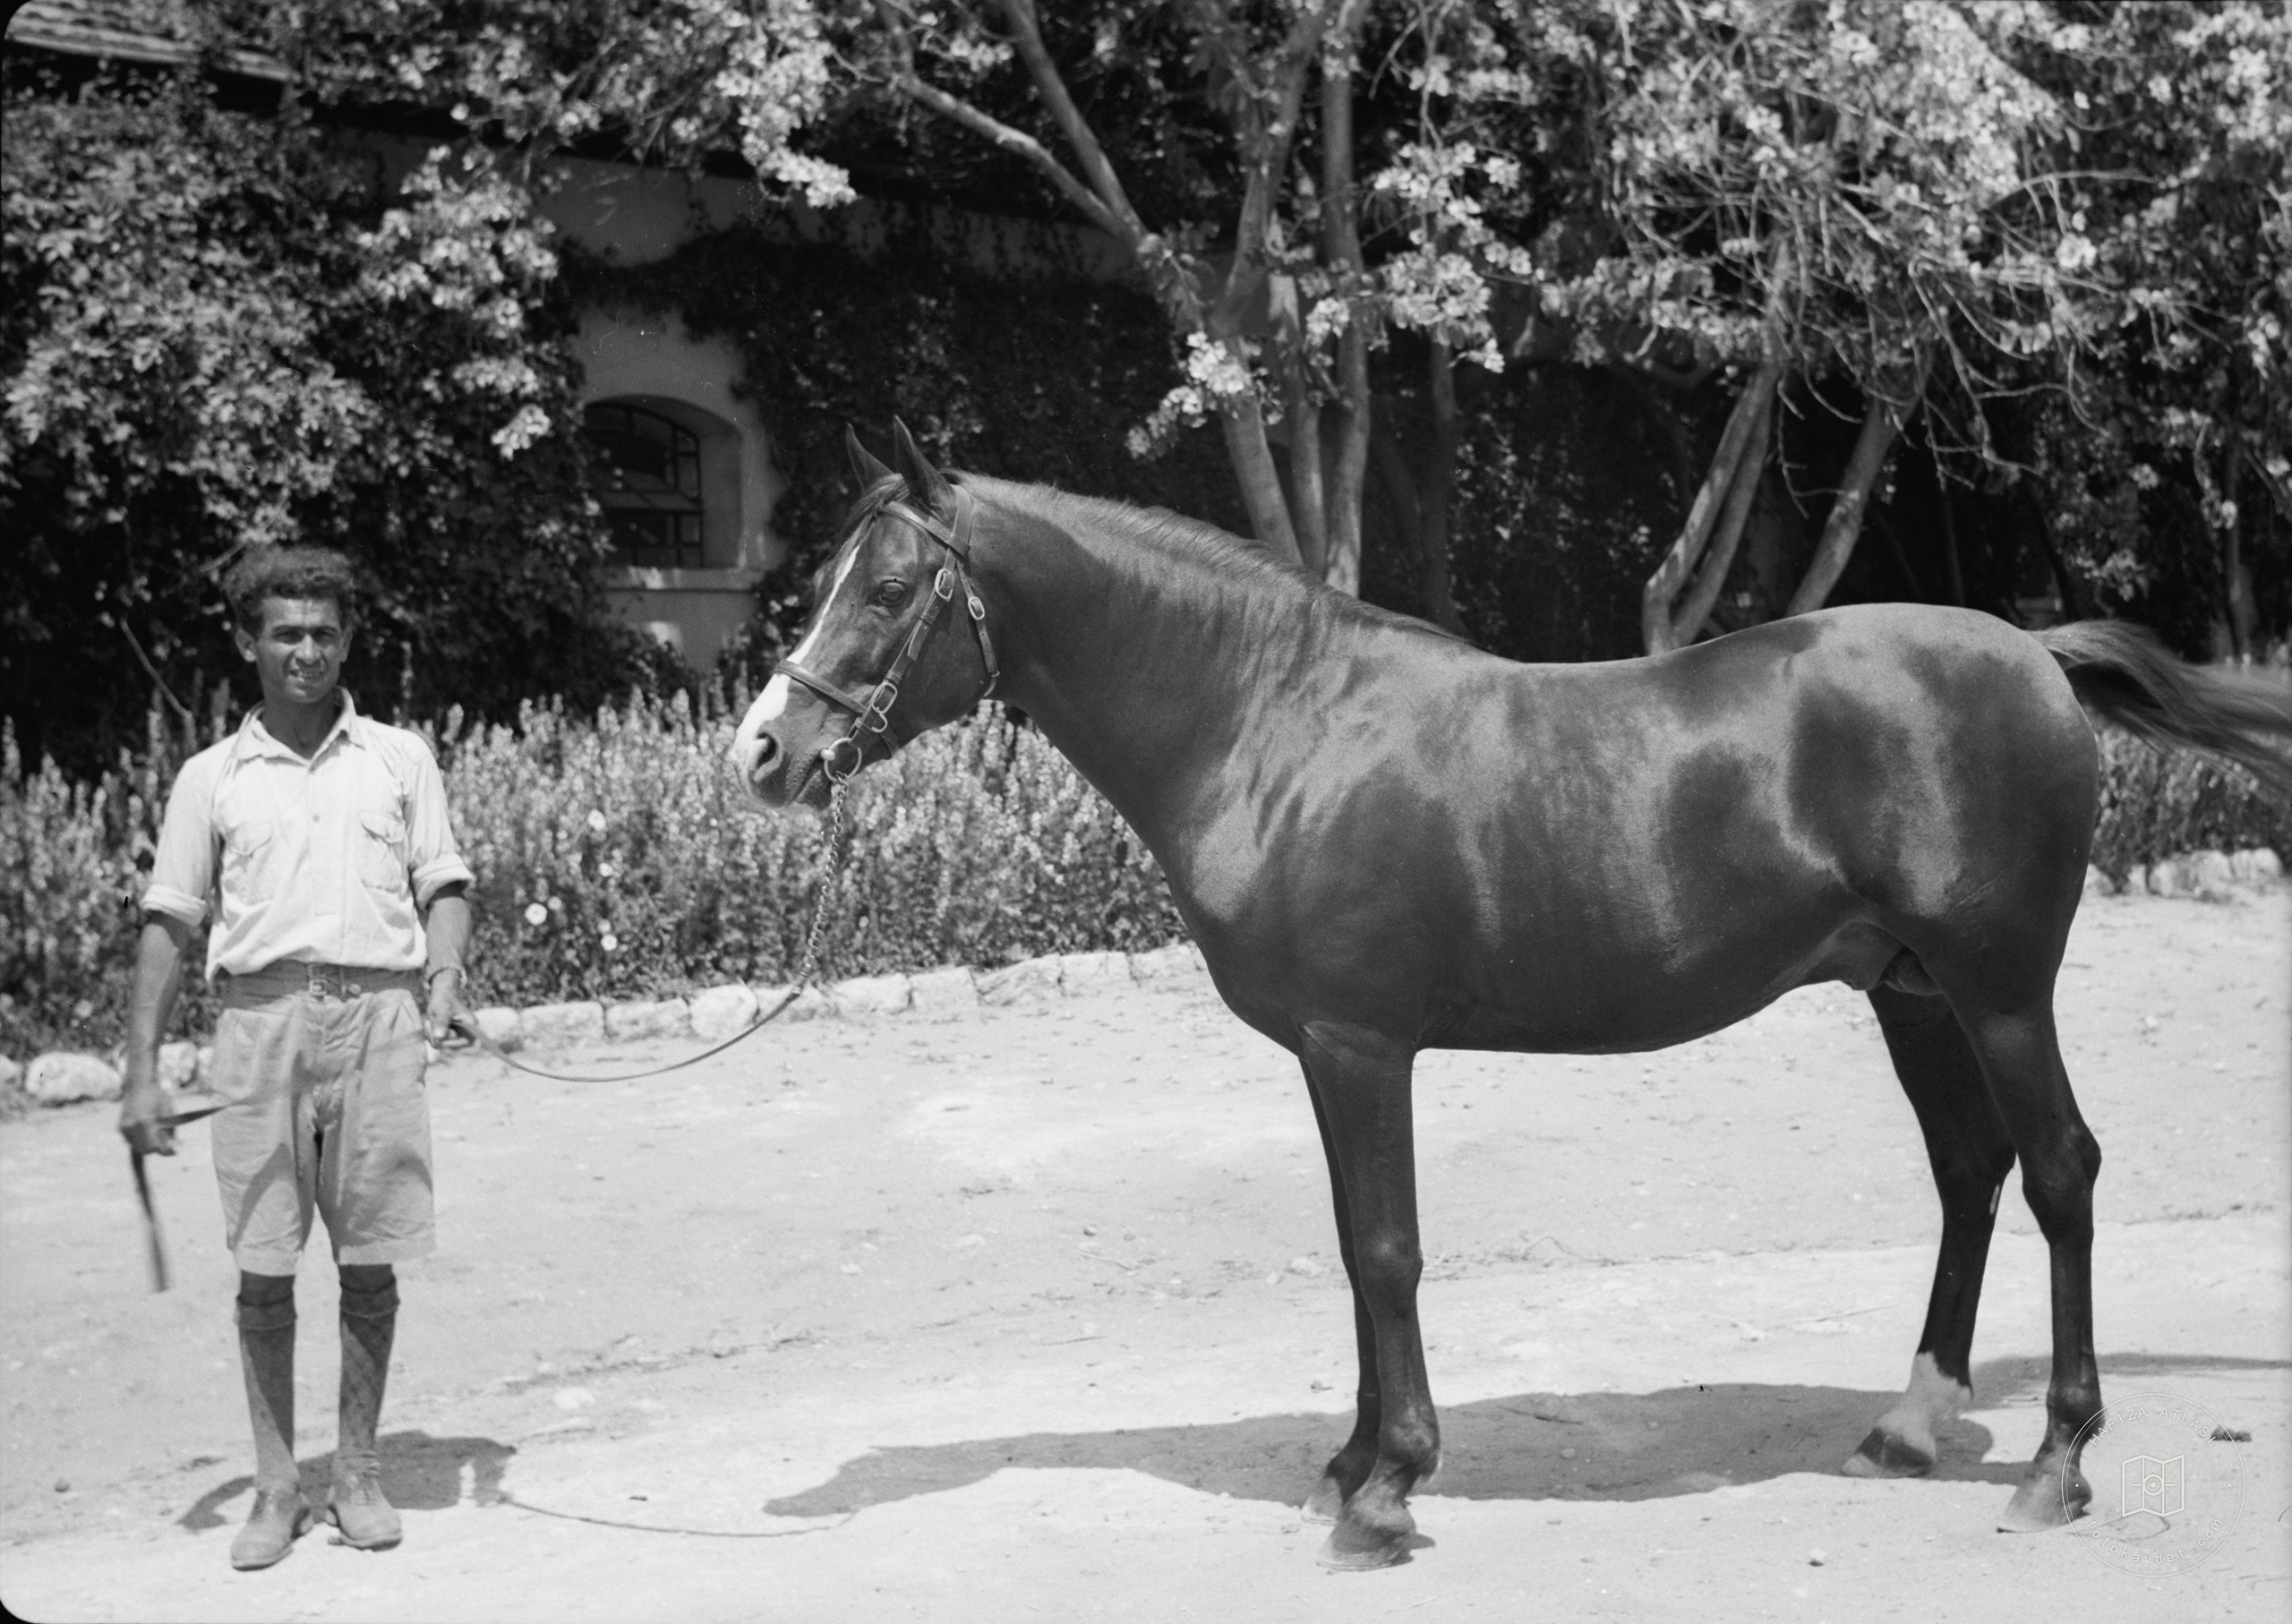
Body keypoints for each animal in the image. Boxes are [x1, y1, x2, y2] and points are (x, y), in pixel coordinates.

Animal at [729, 420, 2292, 1570]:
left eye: (886, 590)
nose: (762, 751)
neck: (1276, 722)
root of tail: (2034, 652)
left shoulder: (1362, 1045)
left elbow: (1386, 1252)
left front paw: (1386, 1493)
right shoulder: (1328, 1053)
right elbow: (1356, 1249)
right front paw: (1354, 1460)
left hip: (2000, 989)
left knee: (2059, 1170)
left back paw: (2054, 1466)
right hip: (1909, 991)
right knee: (1971, 1170)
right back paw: (1909, 1425)